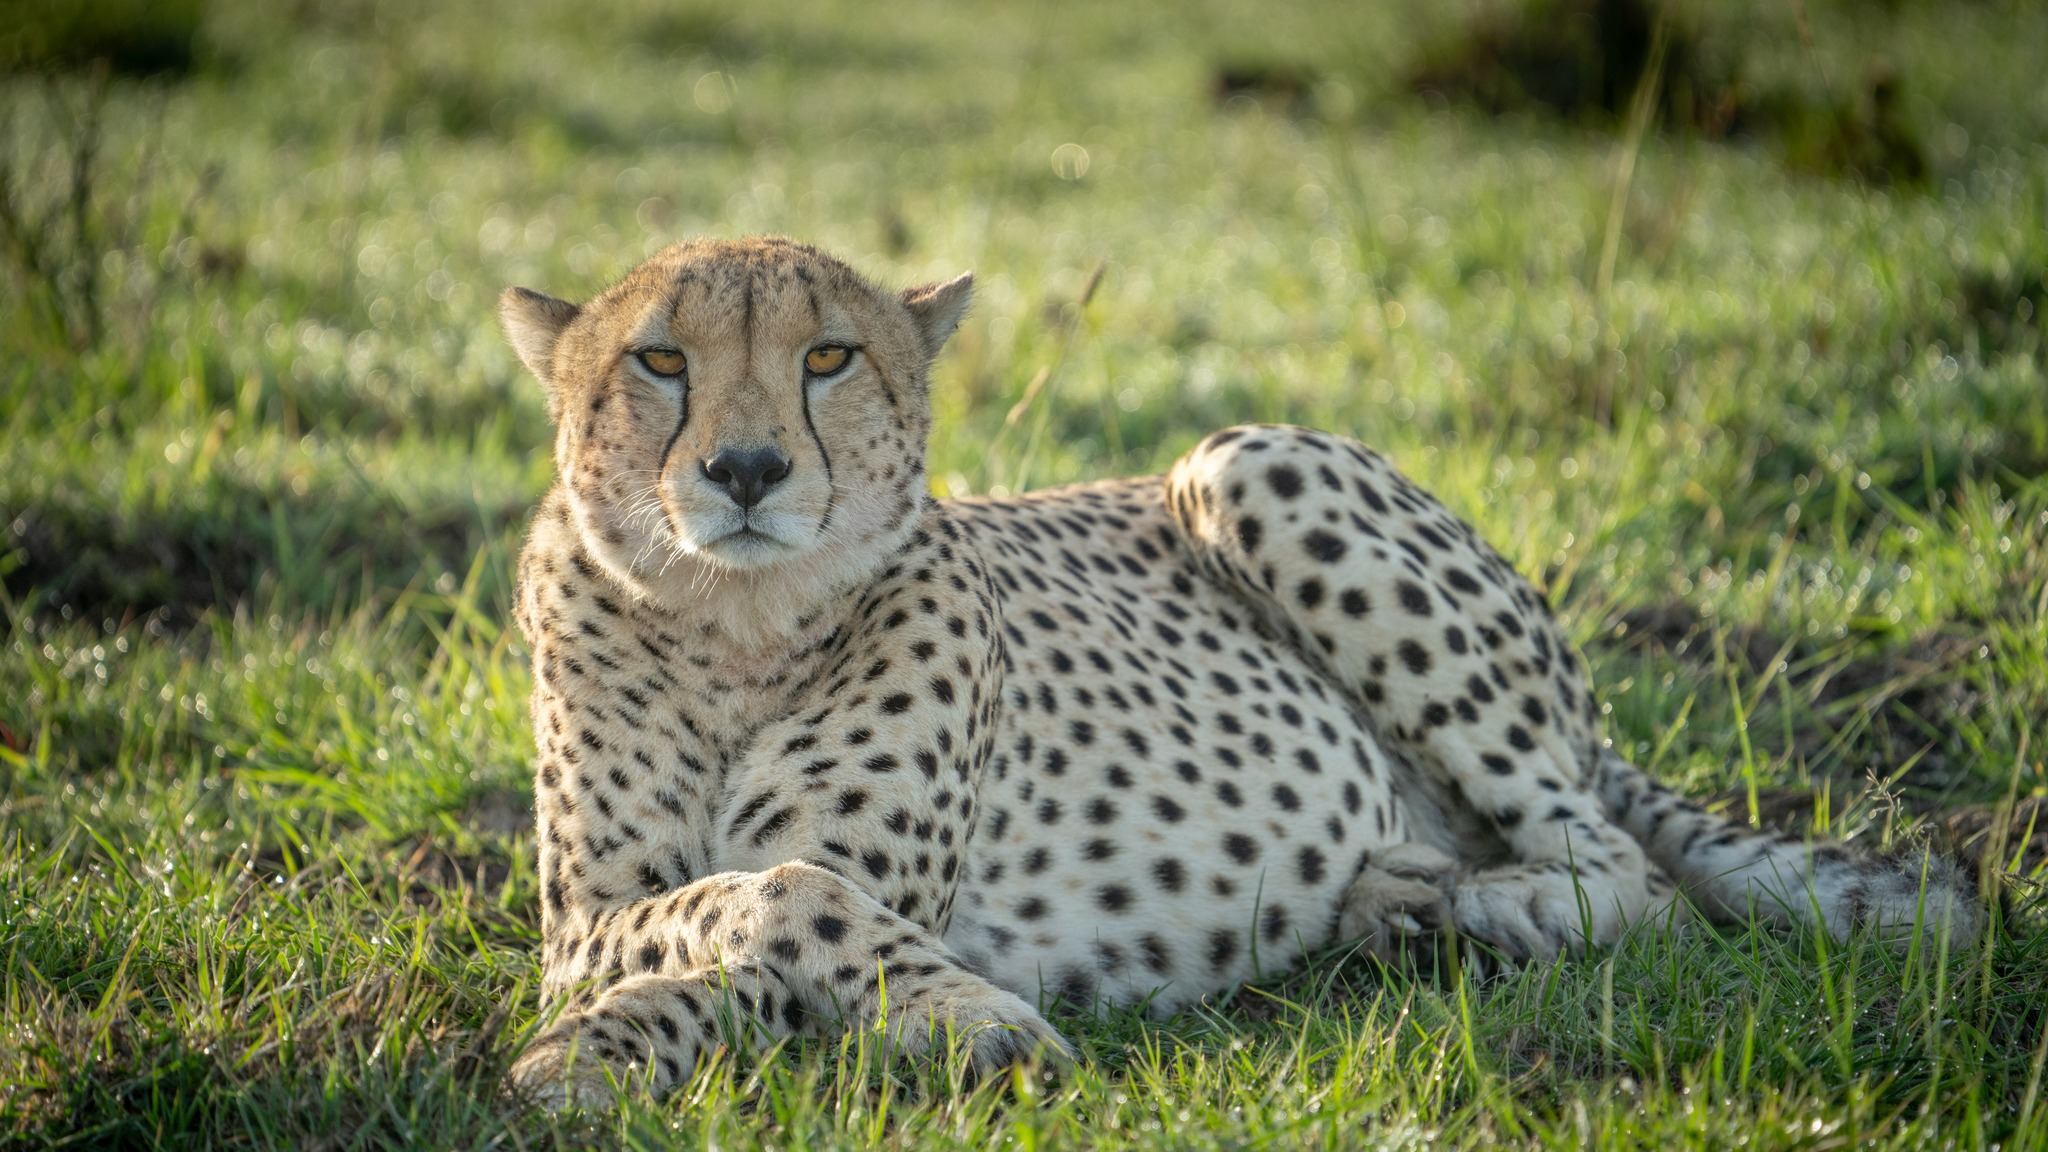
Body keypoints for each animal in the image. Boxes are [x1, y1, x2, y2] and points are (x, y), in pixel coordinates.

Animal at [495, 235, 1984, 1107]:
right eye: (660, 361)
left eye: (828, 357)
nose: (746, 471)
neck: (735, 629)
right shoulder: (583, 924)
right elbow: (734, 914)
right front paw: (585, 1061)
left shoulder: (859, 889)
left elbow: (787, 896)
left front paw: (973, 1018)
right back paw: (1395, 899)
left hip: (1247, 458)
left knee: (1625, 871)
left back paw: (1464, 913)